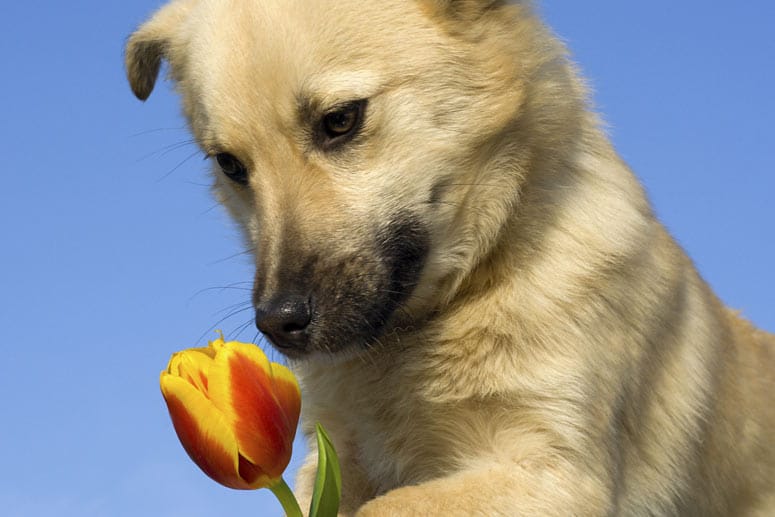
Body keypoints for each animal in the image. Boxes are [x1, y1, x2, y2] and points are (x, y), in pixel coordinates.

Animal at [124, 0, 772, 512]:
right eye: (230, 165)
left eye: (340, 120)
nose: (278, 323)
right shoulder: (331, 463)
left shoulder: (553, 472)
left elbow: (391, 507)